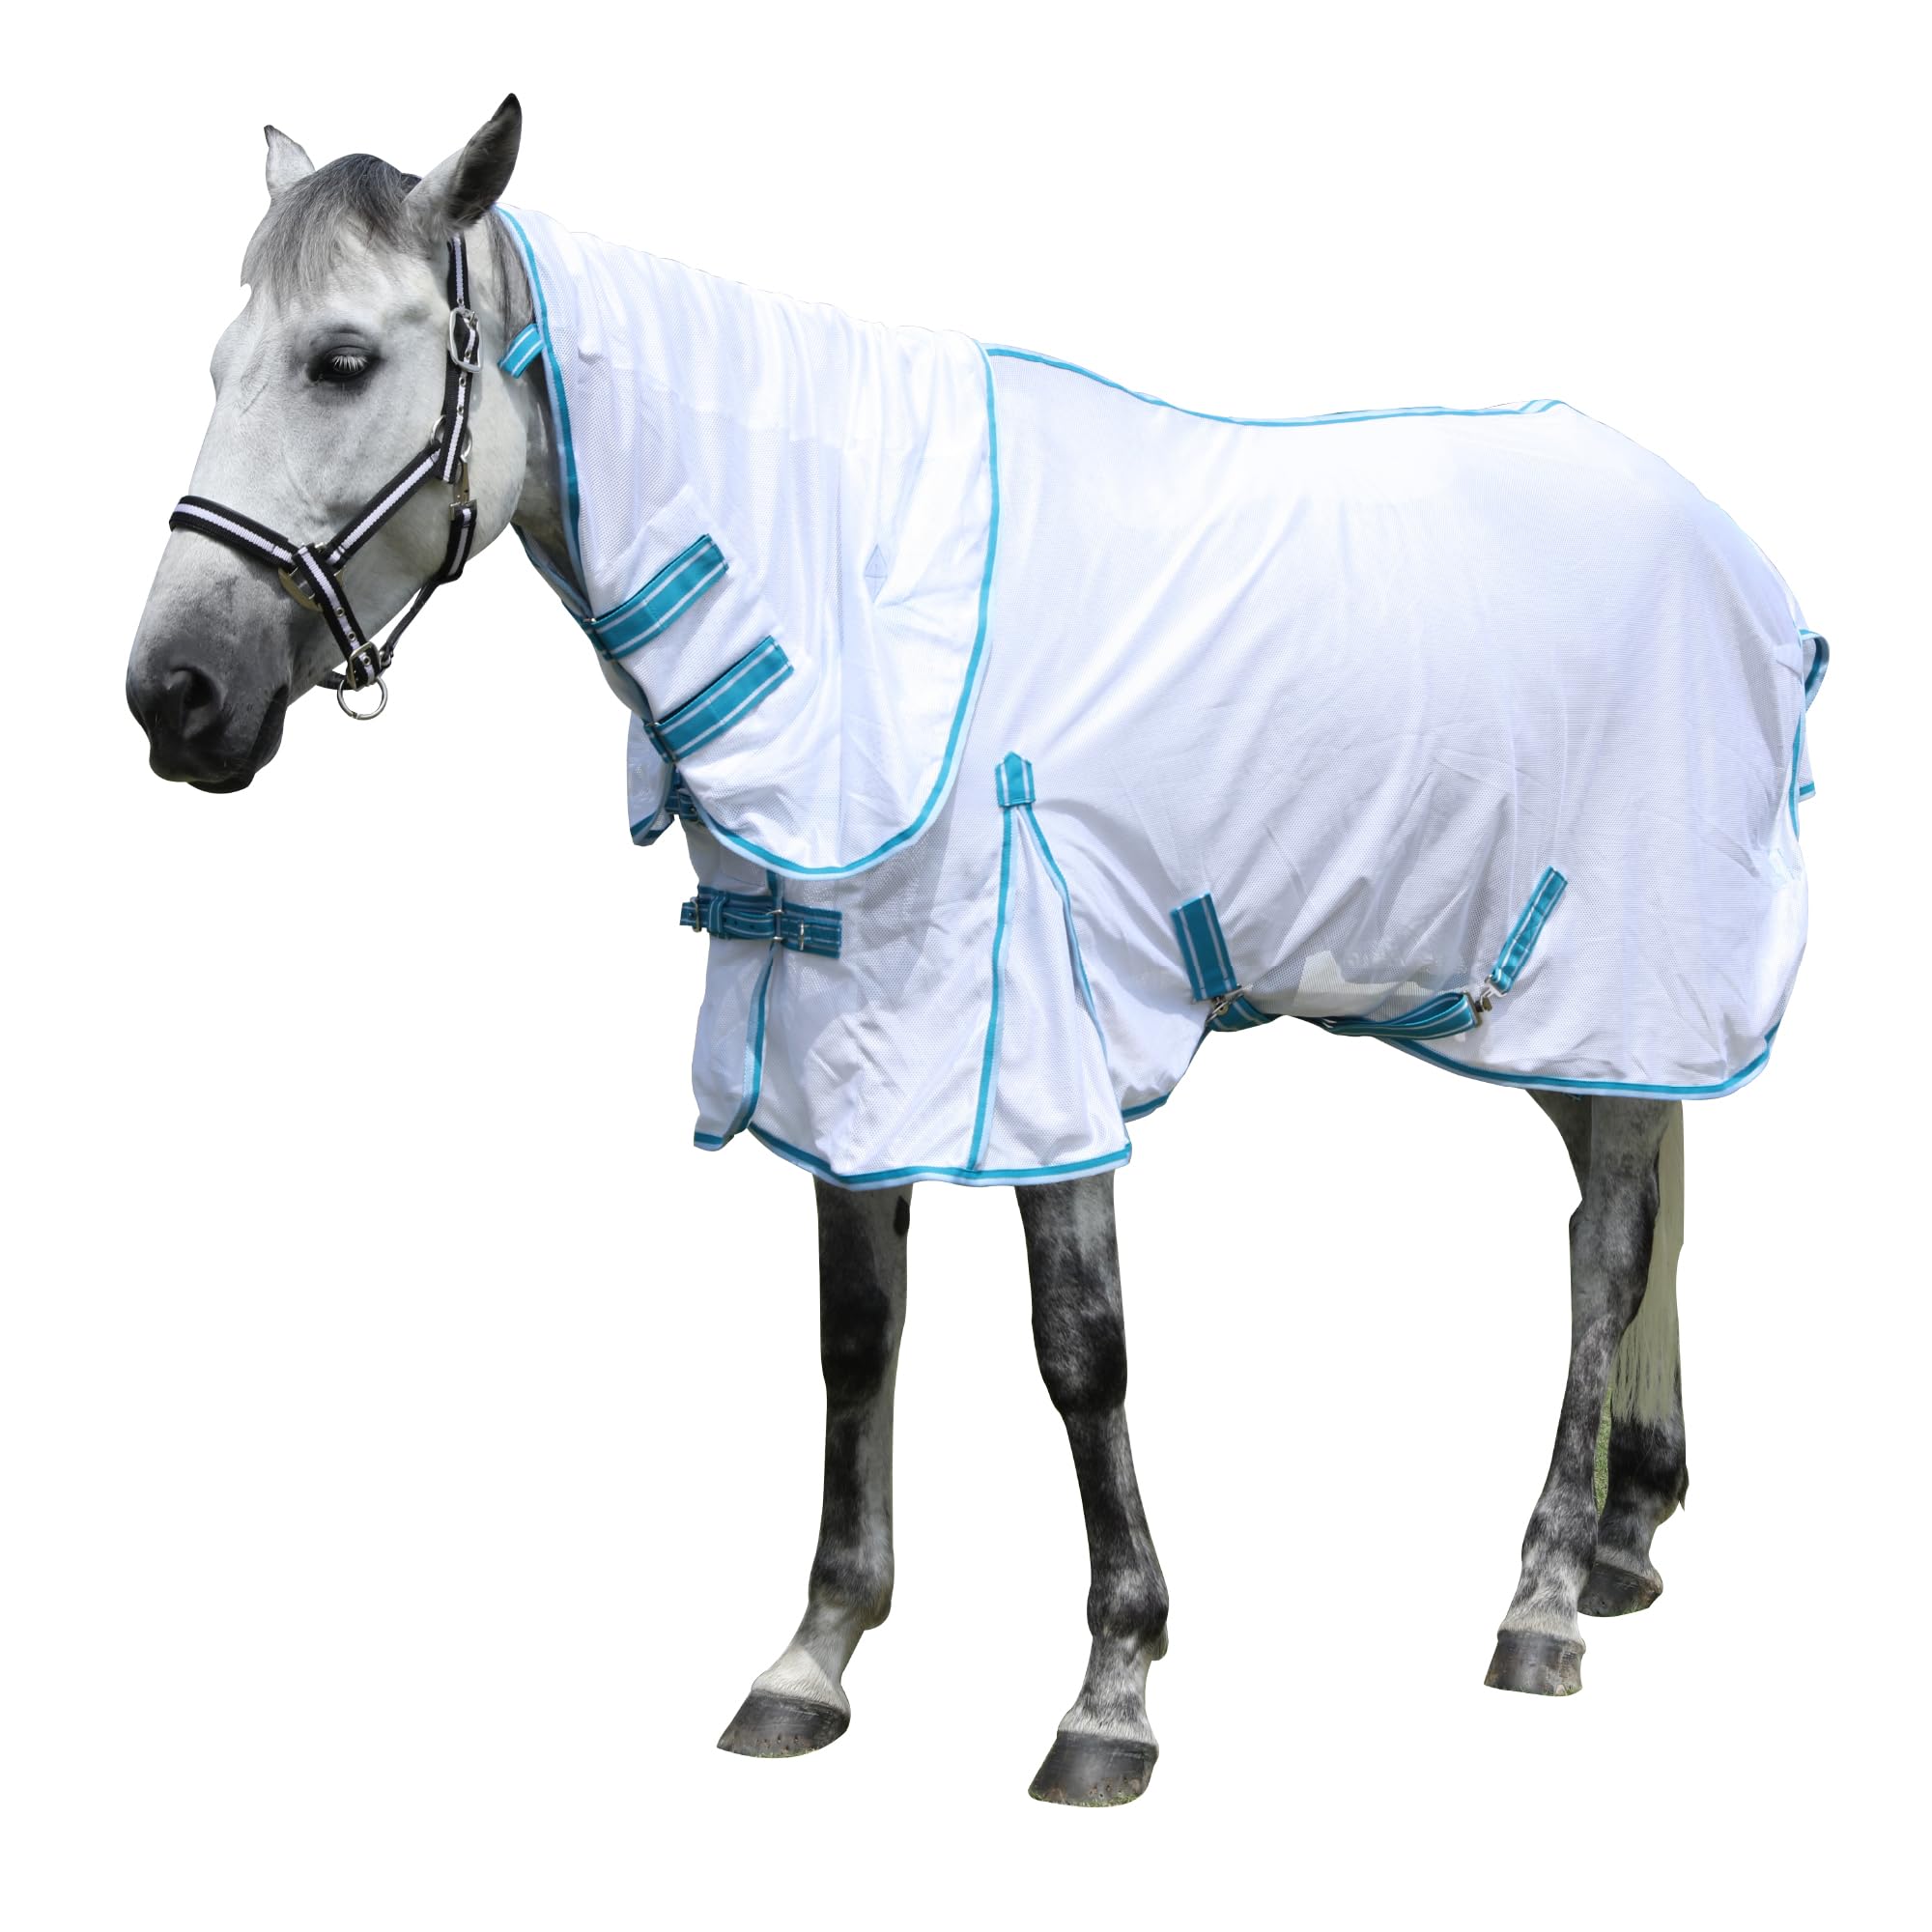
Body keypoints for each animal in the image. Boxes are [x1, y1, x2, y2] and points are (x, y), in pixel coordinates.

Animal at [126, 97, 1822, 1805]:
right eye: (216, 363)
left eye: (343, 358)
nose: (175, 695)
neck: (856, 591)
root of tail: (1733, 551)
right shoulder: (840, 1025)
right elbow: (855, 1339)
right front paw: (814, 1655)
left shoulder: (1029, 1033)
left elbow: (1081, 1351)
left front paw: (1113, 1686)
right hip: (1571, 1011)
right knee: (1634, 1202)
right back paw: (1626, 1532)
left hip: (1614, 963)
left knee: (1609, 1244)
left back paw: (1543, 1593)